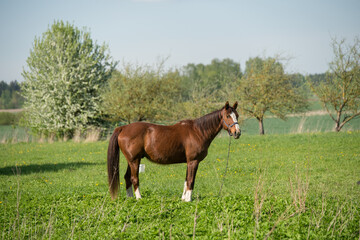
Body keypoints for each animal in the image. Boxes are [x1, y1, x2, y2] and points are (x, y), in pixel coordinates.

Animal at [107, 100, 242, 202]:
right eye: (228, 116)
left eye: (237, 115)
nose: (237, 133)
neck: (198, 131)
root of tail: (123, 127)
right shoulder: (193, 161)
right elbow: (191, 180)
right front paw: (188, 199)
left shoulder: (189, 162)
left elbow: (186, 180)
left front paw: (183, 198)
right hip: (134, 160)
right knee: (134, 178)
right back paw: (139, 198)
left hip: (132, 160)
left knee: (127, 177)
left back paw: (130, 198)